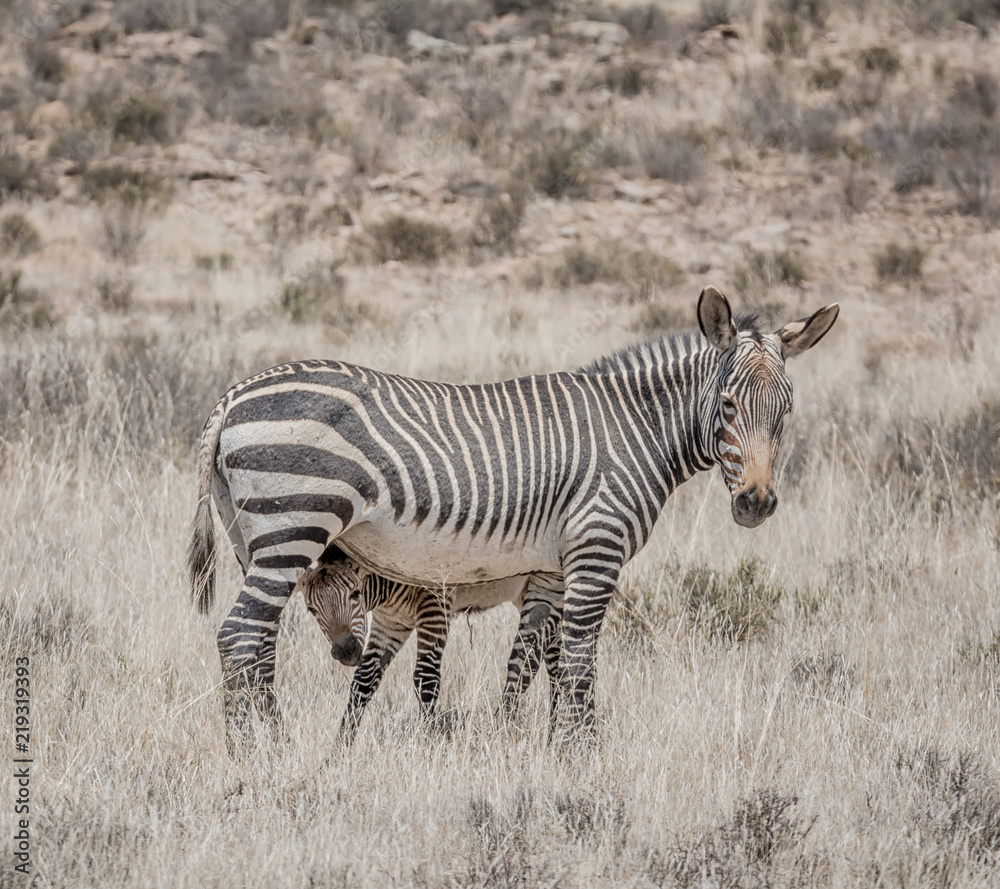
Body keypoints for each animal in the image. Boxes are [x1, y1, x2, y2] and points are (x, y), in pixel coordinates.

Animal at [296, 546, 563, 744]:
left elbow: (425, 677)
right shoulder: (391, 621)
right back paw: (556, 728)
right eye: (311, 610)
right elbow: (364, 681)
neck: (385, 588)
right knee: (554, 656)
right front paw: (340, 748)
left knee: (534, 659)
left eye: (355, 594)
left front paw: (430, 741)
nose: (346, 651)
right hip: (526, 590)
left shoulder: (435, 604)